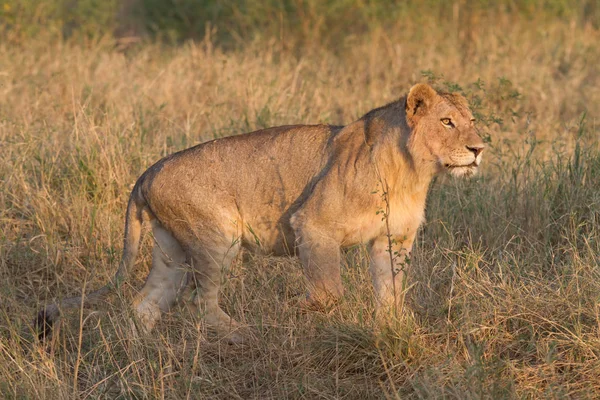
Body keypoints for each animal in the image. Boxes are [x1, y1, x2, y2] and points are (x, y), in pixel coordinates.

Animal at [37, 83, 486, 342]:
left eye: (471, 121)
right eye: (447, 122)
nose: (479, 148)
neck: (412, 171)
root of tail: (146, 173)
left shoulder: (393, 239)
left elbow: (390, 291)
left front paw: (397, 328)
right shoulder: (313, 225)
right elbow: (330, 292)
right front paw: (303, 311)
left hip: (171, 250)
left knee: (145, 304)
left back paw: (143, 353)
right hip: (218, 237)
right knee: (200, 303)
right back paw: (244, 333)